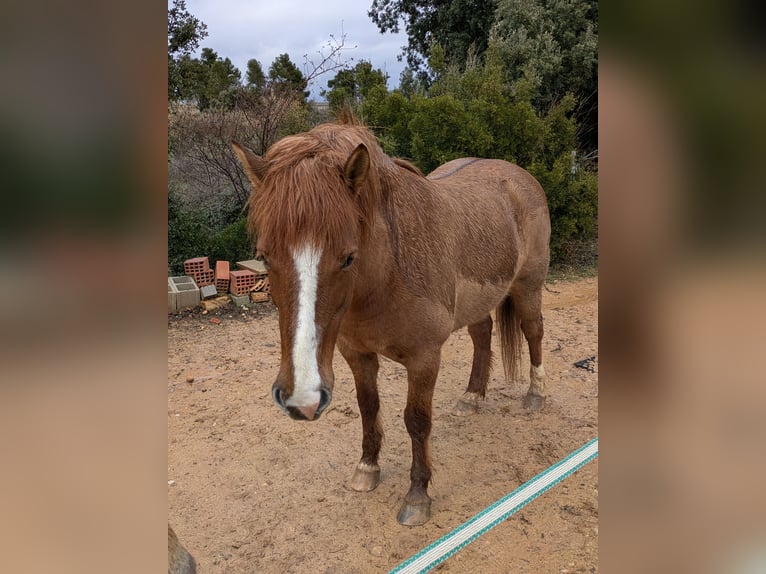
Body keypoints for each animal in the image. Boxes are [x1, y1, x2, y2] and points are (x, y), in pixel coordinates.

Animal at [232, 118, 550, 526]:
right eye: (264, 256)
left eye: (348, 258)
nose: (302, 400)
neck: (387, 276)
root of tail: (518, 176)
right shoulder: (356, 354)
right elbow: (369, 408)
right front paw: (367, 469)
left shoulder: (425, 358)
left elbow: (417, 420)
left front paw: (417, 496)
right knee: (483, 335)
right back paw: (471, 397)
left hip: (528, 287)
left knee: (533, 332)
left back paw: (535, 395)